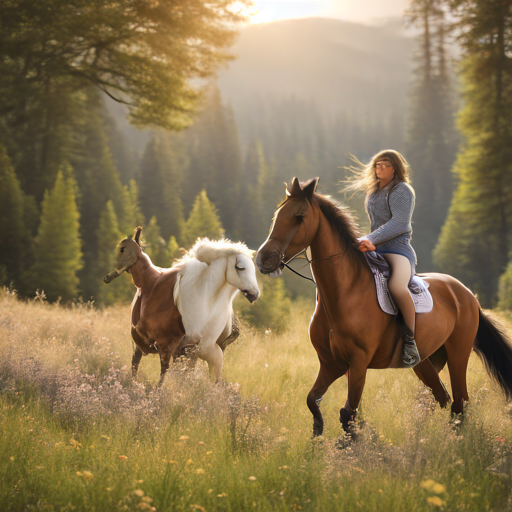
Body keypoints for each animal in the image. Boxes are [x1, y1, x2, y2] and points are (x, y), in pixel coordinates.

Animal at [258, 179, 512, 436]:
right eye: (276, 216)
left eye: (299, 217)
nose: (262, 259)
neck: (344, 291)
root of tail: (466, 294)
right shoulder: (331, 363)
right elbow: (313, 400)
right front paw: (318, 432)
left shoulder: (358, 361)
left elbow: (348, 414)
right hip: (427, 360)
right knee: (441, 397)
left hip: (458, 353)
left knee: (459, 402)